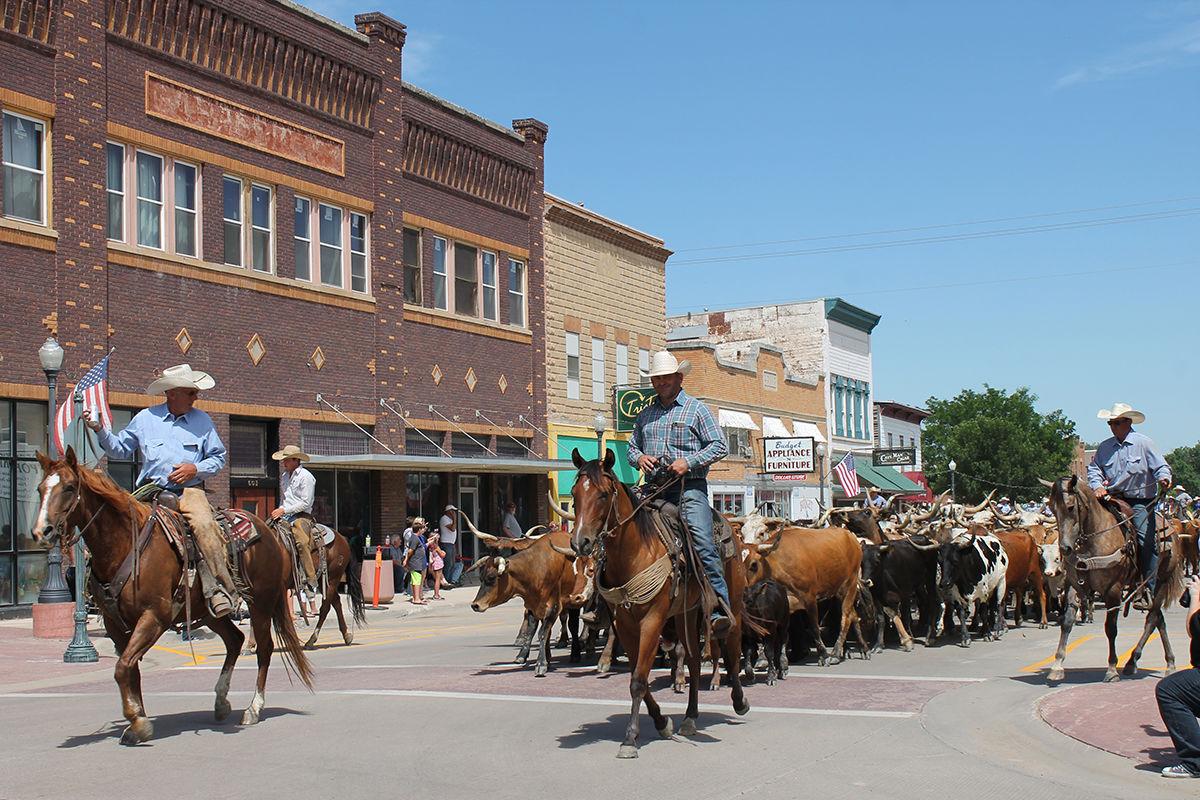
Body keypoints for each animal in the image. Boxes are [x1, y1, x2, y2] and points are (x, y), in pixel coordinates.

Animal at [33, 450, 314, 743]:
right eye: (40, 489)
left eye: (68, 487)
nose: (42, 532)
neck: (125, 544)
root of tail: (269, 532)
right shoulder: (115, 624)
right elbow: (129, 669)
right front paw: (138, 719)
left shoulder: (154, 616)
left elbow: (123, 667)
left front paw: (137, 721)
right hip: (209, 612)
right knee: (234, 640)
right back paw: (221, 701)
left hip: (261, 602)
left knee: (265, 649)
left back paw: (253, 708)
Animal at [549, 453, 748, 762]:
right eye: (575, 493)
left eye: (603, 494)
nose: (580, 541)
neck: (633, 553)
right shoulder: (625, 624)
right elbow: (636, 675)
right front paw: (661, 721)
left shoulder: (652, 621)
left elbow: (639, 681)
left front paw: (630, 738)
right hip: (686, 613)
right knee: (693, 659)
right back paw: (690, 716)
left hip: (733, 603)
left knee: (732, 646)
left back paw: (739, 701)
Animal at [1041, 474, 1190, 681]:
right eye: (1053, 508)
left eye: (1070, 507)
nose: (1065, 548)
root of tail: (1171, 530)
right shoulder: (1074, 585)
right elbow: (1067, 622)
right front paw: (1057, 666)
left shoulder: (1113, 589)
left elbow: (1110, 629)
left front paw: (1111, 669)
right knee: (1158, 619)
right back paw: (1154, 661)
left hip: (1160, 581)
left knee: (1152, 618)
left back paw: (1146, 662)